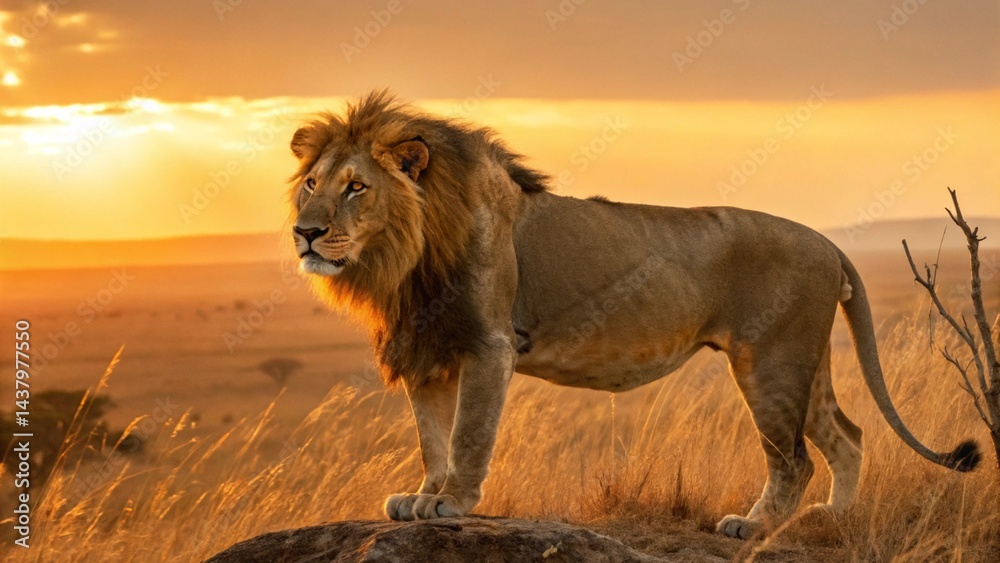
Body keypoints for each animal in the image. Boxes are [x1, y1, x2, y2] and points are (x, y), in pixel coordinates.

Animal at [287, 91, 979, 539]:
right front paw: (423, 497)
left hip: (772, 362)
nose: (304, 233)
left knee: (795, 459)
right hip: (804, 364)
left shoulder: (489, 344)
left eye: (357, 187)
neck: (408, 256)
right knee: (848, 435)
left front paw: (451, 504)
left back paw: (753, 526)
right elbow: (432, 438)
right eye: (312, 184)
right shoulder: (428, 354)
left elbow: (468, 435)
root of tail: (830, 244)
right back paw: (833, 521)